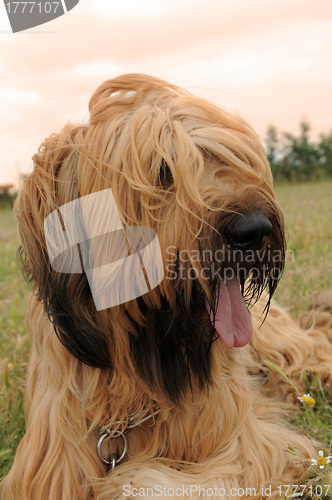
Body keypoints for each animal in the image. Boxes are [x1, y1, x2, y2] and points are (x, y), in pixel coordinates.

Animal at [2, 74, 332, 500]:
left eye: (228, 160)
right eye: (163, 171)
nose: (255, 230)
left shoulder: (253, 445)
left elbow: (155, 479)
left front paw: (120, 482)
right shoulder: (46, 469)